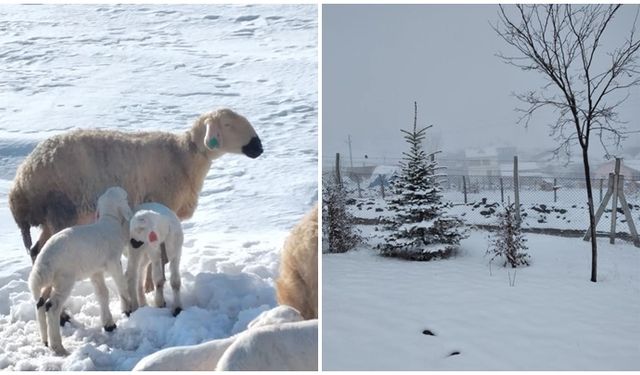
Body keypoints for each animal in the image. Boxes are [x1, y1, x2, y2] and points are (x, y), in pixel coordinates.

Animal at [28, 187, 134, 356]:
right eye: (125, 197)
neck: (109, 220)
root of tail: (44, 259)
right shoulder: (113, 263)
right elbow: (121, 285)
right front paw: (128, 309)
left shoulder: (95, 271)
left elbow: (102, 293)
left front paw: (109, 324)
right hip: (64, 279)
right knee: (52, 306)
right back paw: (59, 348)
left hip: (49, 281)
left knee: (40, 303)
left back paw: (45, 341)